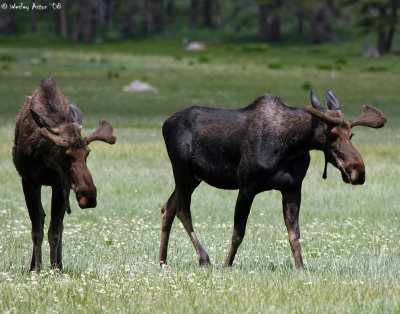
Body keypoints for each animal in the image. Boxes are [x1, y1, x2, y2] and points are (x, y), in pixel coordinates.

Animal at [12, 77, 115, 272]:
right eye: (63, 153)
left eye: (87, 153)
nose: (89, 196)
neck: (43, 157)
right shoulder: (28, 180)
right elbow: (36, 229)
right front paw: (36, 269)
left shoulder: (60, 184)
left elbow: (54, 231)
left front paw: (55, 269)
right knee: (42, 219)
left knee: (59, 226)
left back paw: (58, 264)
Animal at [159, 89, 388, 268]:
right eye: (331, 134)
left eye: (351, 135)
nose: (358, 171)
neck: (292, 147)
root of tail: (164, 124)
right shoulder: (247, 186)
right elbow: (238, 232)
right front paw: (226, 265)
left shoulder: (293, 188)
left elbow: (294, 235)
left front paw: (301, 268)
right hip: (182, 170)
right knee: (182, 210)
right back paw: (204, 258)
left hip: (194, 177)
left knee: (167, 207)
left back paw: (162, 260)